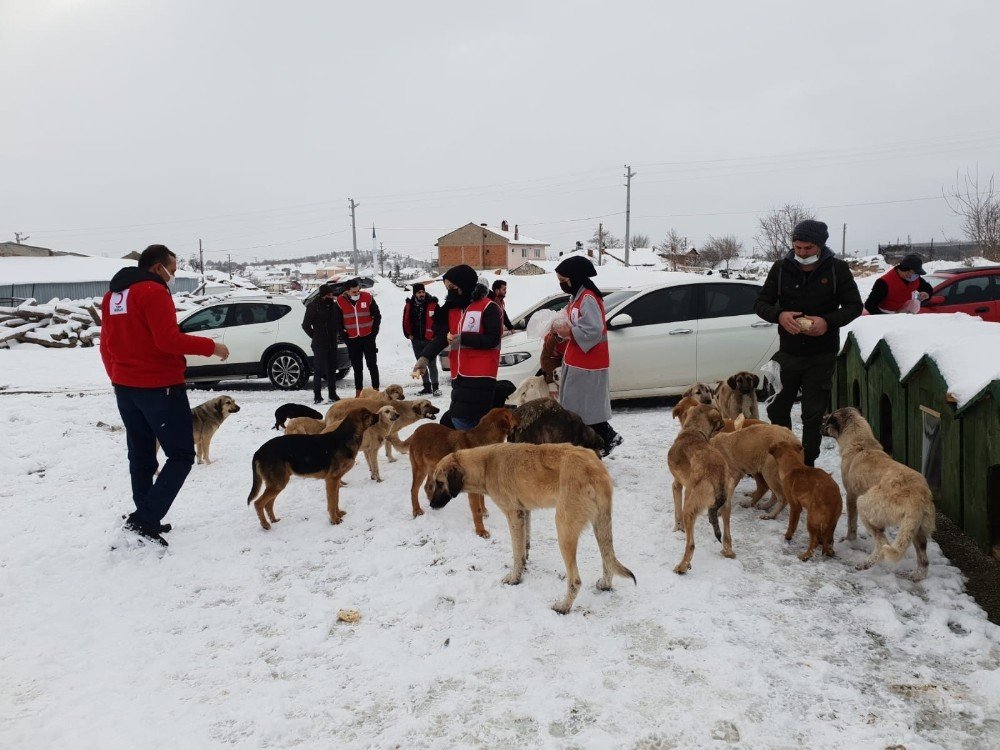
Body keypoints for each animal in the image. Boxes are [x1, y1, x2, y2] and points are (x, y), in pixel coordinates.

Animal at [246, 408, 378, 532]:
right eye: (368, 415)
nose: (379, 415)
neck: (346, 437)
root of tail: (258, 452)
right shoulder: (331, 480)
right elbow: (332, 502)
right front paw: (334, 520)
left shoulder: (335, 481)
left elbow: (336, 500)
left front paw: (338, 514)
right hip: (278, 483)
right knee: (258, 503)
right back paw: (265, 525)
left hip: (277, 483)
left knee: (268, 504)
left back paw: (273, 520)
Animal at [402, 408, 520, 536]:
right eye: (512, 415)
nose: (520, 418)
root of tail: (417, 431)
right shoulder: (472, 489)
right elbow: (477, 510)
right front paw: (481, 530)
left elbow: (482, 500)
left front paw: (484, 511)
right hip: (420, 469)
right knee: (414, 490)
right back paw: (417, 510)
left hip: (434, 468)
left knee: (427, 486)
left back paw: (432, 502)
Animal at [668, 406, 740, 576]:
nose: (723, 425)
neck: (694, 430)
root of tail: (717, 474)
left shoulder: (677, 485)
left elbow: (677, 512)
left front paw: (678, 528)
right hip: (727, 504)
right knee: (727, 536)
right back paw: (728, 552)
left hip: (689, 508)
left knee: (691, 545)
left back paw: (682, 567)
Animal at [820, 408, 936, 580]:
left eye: (828, 420)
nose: (819, 426)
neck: (860, 444)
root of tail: (917, 498)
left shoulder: (851, 496)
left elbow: (851, 523)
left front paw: (849, 540)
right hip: (916, 529)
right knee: (924, 561)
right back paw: (916, 576)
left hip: (865, 504)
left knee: (882, 543)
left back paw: (866, 563)